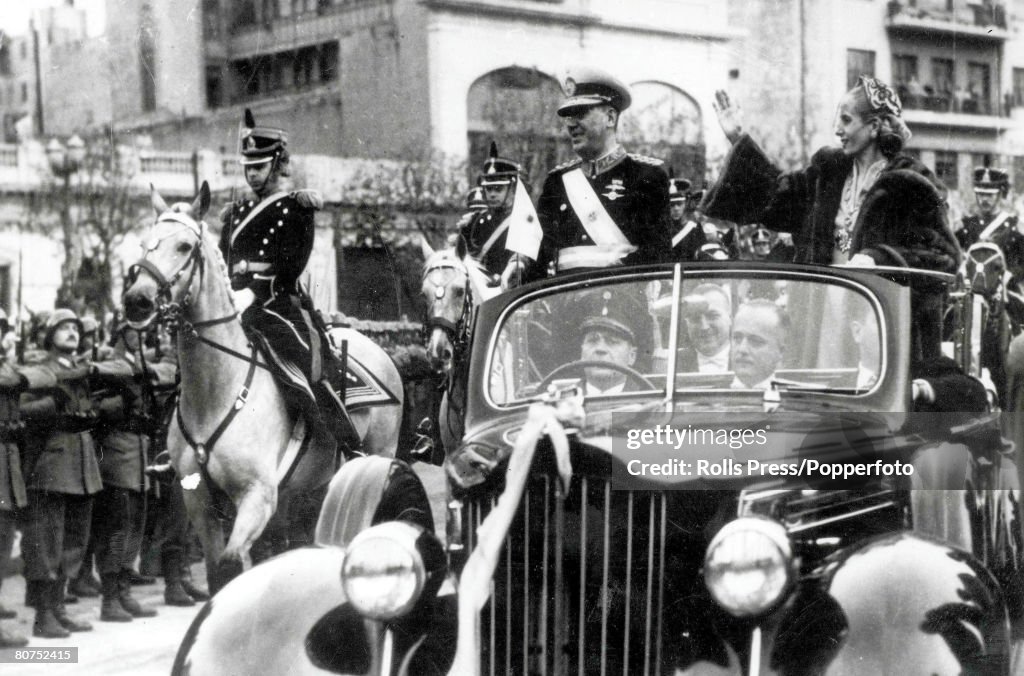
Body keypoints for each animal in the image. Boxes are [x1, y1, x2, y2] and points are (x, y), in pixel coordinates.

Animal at [121, 183, 401, 589]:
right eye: (146, 244)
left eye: (184, 247)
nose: (137, 301)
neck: (216, 393)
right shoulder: (200, 502)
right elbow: (218, 573)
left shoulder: (258, 497)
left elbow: (231, 565)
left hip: (376, 457)